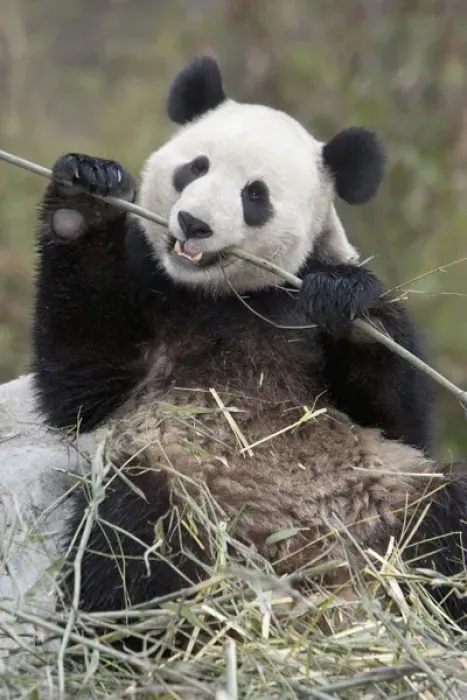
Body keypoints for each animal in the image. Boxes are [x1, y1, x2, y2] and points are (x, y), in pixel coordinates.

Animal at [32, 55, 467, 628]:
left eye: (254, 195)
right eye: (194, 168)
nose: (193, 223)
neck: (225, 296)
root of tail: (305, 572)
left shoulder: (302, 294)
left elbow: (400, 419)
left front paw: (346, 302)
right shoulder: (151, 291)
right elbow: (81, 386)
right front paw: (86, 194)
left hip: (392, 496)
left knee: (448, 526)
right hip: (179, 486)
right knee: (128, 545)